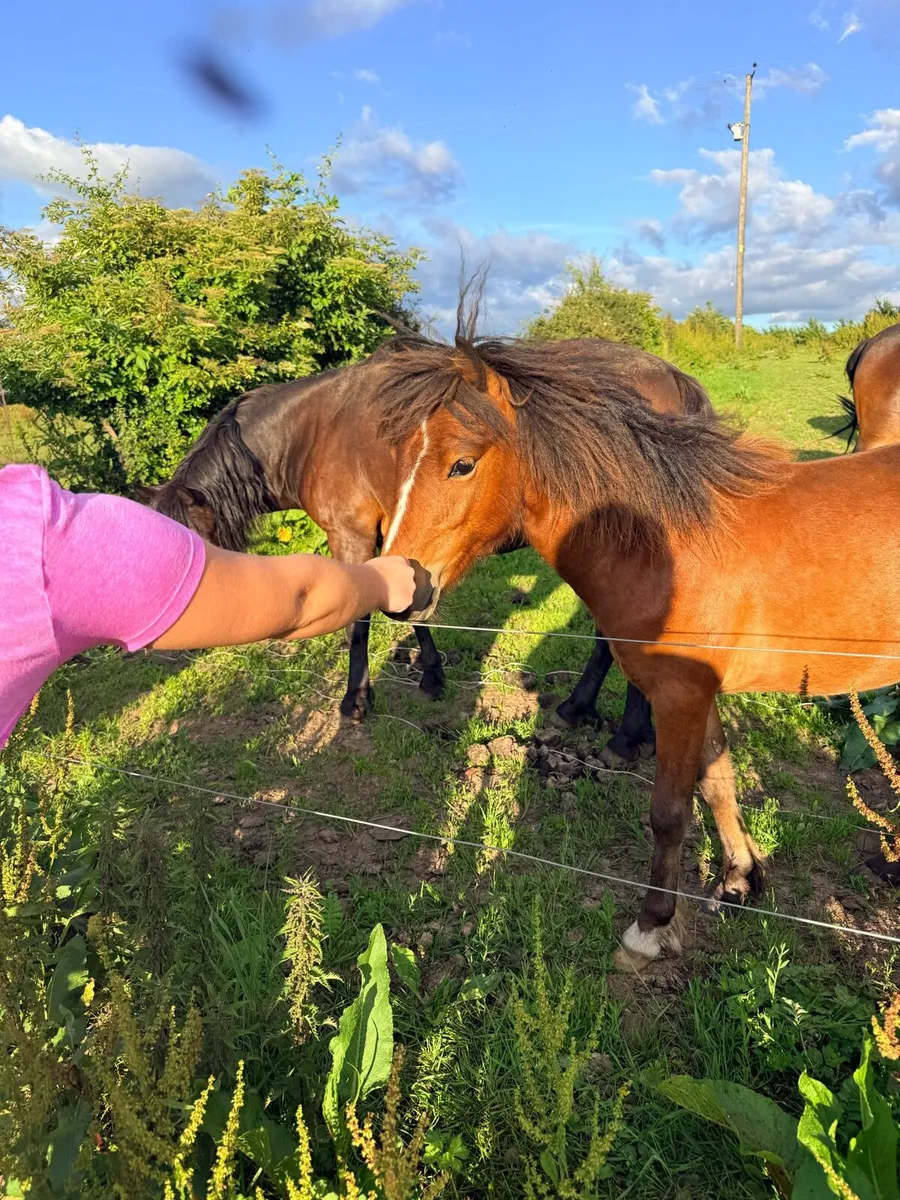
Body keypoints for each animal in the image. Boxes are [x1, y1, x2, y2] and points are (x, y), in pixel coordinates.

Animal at [138, 337, 711, 758]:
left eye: (188, 553)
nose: (162, 646)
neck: (314, 429)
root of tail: (671, 377)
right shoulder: (398, 544)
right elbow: (410, 610)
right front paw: (432, 675)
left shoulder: (352, 537)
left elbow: (361, 623)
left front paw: (356, 700)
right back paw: (583, 709)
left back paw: (626, 735)